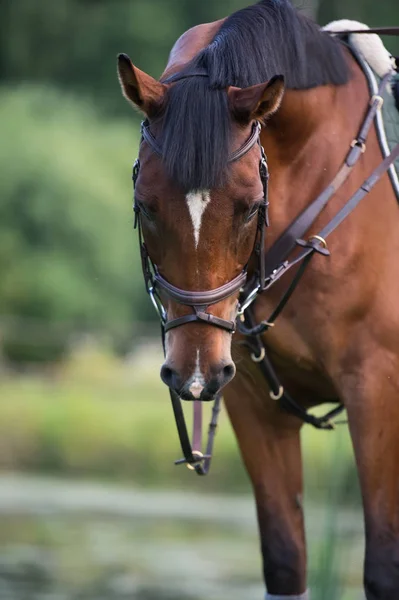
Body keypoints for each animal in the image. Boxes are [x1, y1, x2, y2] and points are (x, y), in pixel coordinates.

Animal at [117, 1, 399, 600]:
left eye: (249, 207)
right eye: (145, 205)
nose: (194, 374)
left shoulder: (378, 390)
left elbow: (384, 566)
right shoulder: (253, 402)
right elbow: (285, 560)